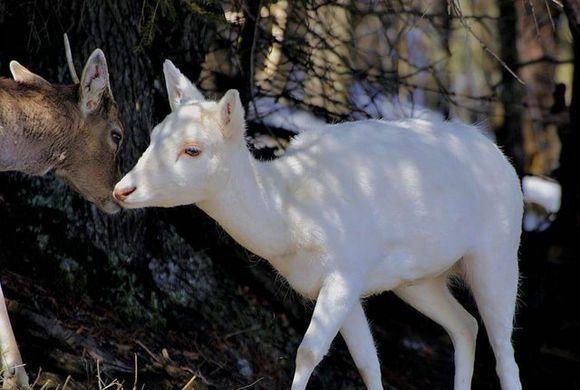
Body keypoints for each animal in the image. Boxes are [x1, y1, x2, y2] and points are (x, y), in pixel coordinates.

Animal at [115, 61, 524, 390]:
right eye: (153, 135)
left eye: (193, 149)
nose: (122, 189)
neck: (292, 219)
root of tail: (502, 159)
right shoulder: (343, 284)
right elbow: (368, 363)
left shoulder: (347, 268)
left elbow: (308, 352)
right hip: (419, 280)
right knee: (465, 325)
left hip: (498, 253)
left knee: (505, 354)